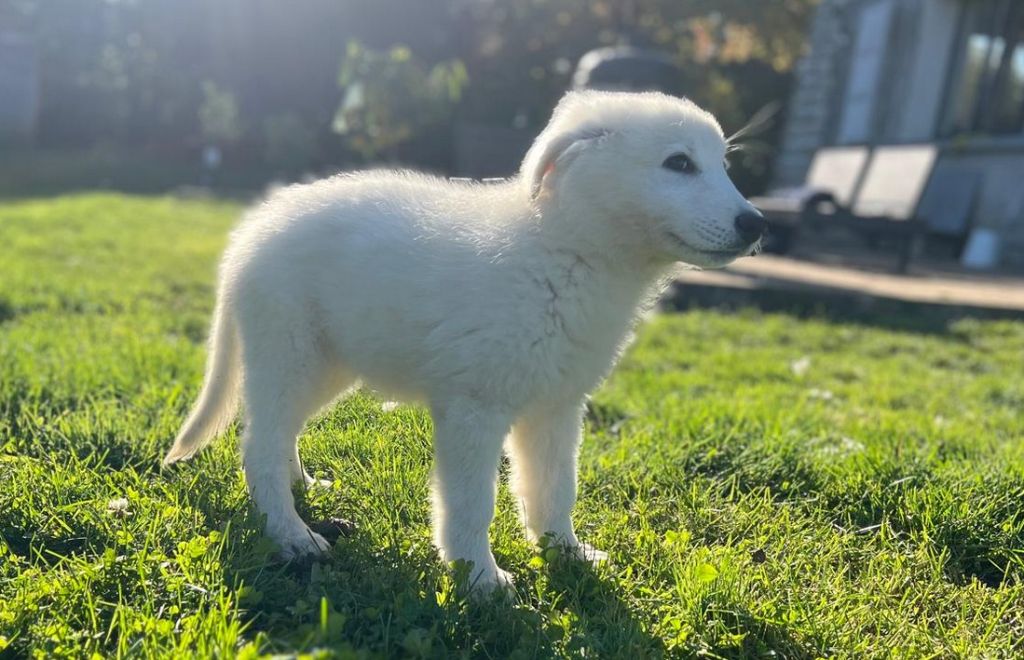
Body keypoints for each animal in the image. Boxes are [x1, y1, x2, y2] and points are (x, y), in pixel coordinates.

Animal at [163, 90, 765, 589]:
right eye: (679, 163)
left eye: (722, 165)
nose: (754, 223)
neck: (566, 251)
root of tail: (249, 234)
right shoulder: (475, 408)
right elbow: (472, 503)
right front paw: (480, 579)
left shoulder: (556, 406)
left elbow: (553, 488)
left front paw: (566, 553)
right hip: (289, 353)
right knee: (258, 445)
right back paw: (292, 536)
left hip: (327, 364)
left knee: (280, 431)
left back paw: (303, 487)